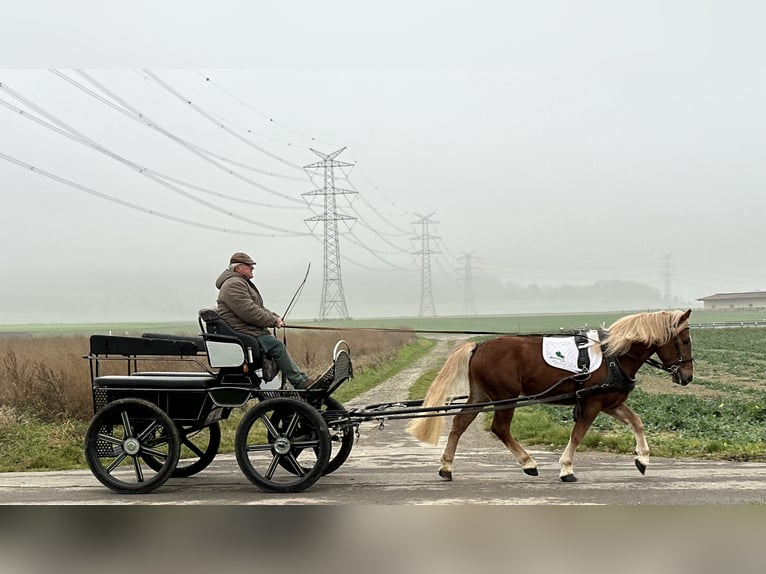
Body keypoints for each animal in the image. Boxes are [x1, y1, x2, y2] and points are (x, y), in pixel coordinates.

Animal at [412, 310, 700, 482]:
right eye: (685, 340)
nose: (687, 376)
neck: (613, 355)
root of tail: (479, 345)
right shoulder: (592, 403)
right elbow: (578, 434)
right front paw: (566, 468)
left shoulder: (610, 402)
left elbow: (637, 423)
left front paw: (642, 459)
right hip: (506, 397)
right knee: (500, 428)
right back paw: (528, 463)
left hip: (482, 395)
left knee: (460, 423)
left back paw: (447, 467)